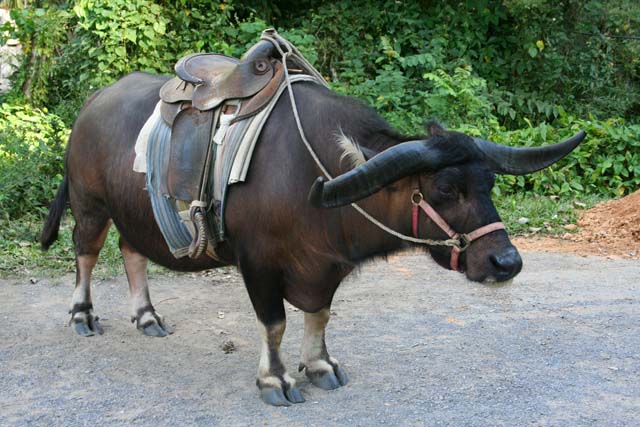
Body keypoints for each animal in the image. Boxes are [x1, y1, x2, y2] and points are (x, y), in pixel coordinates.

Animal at [40, 71, 584, 408]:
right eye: (446, 189)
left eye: (489, 184)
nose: (506, 262)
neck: (307, 171)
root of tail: (92, 104)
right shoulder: (257, 263)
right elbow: (274, 323)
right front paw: (276, 380)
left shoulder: (323, 267)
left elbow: (318, 316)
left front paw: (320, 366)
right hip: (91, 205)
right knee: (86, 253)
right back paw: (82, 316)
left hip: (134, 213)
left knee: (131, 253)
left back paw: (148, 317)